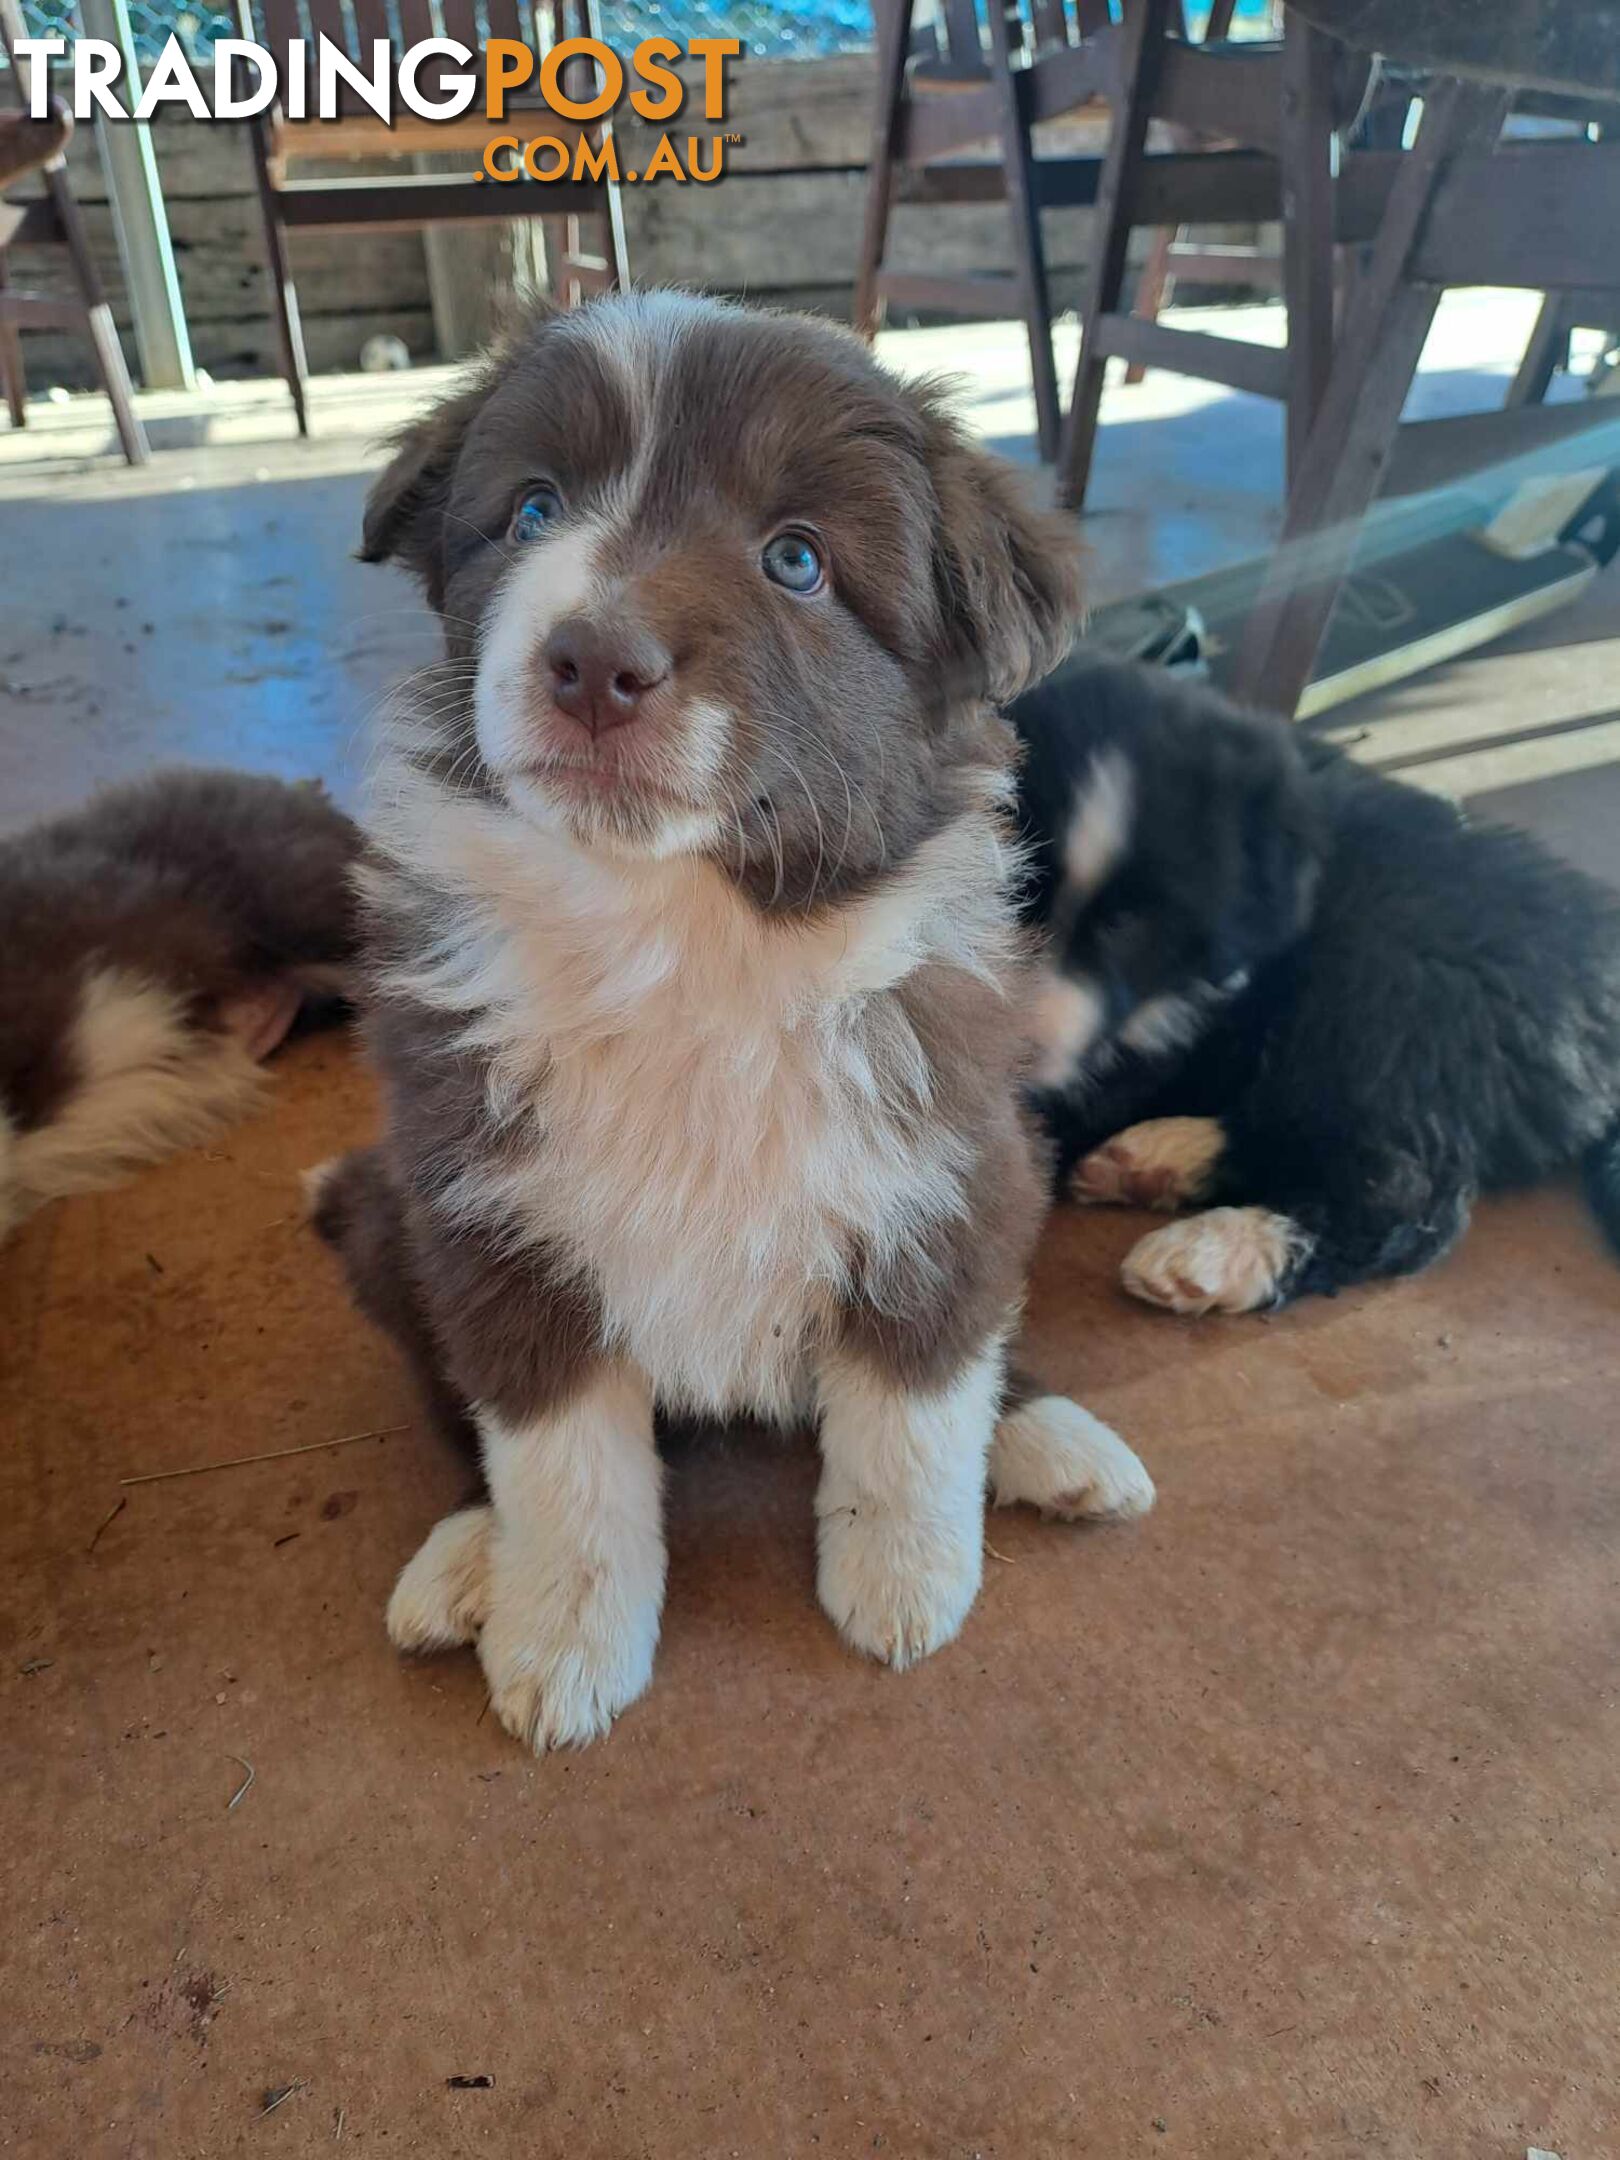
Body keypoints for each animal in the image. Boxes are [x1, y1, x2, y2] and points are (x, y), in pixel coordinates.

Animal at [313, 291, 1157, 1753]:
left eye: (797, 560)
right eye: (533, 510)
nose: (594, 660)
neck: (690, 941)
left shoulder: (942, 1168)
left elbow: (915, 1402)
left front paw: (904, 1581)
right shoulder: (491, 1217)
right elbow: (560, 1464)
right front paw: (561, 1641)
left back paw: (1052, 1439)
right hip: (384, 1219)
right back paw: (468, 1557)